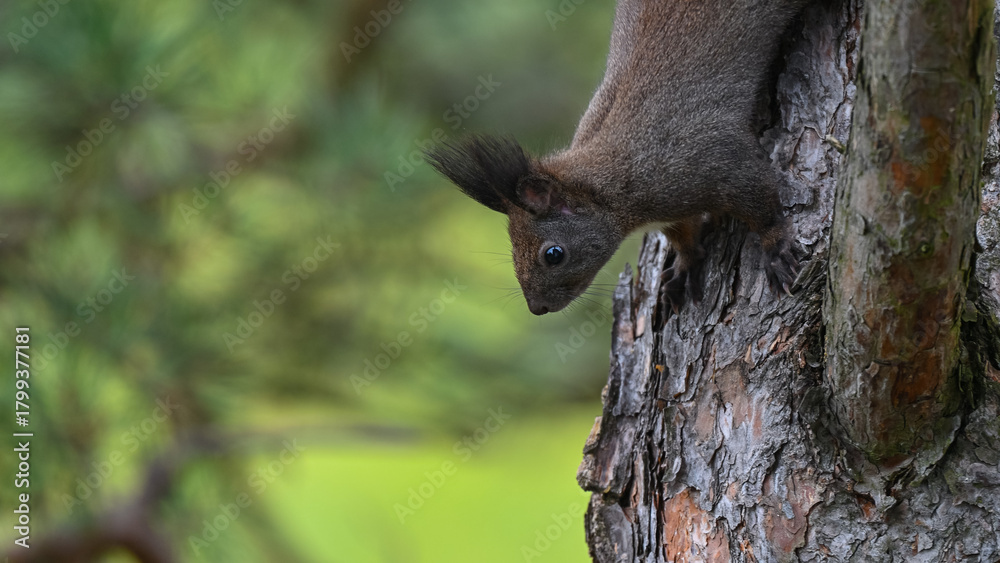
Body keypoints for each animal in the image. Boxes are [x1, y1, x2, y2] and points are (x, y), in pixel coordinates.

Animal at [428, 0, 806, 315]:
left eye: (553, 255)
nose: (537, 309)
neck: (612, 185)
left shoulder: (714, 160)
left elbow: (760, 199)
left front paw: (776, 248)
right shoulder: (674, 212)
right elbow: (684, 234)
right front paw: (685, 266)